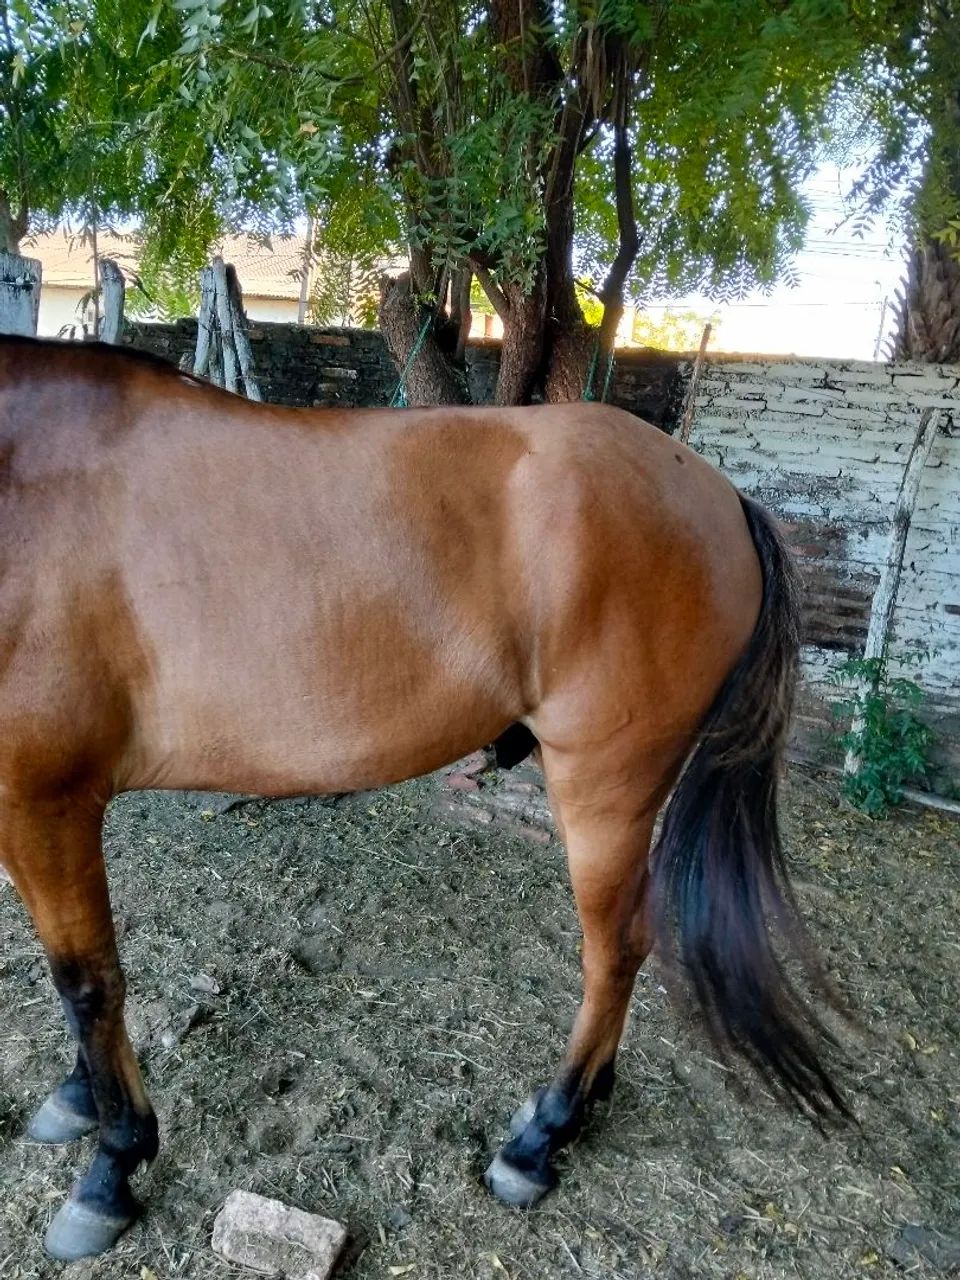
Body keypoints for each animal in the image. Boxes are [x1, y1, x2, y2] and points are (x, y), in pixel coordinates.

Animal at [0, 336, 844, 1261]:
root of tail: (720, 494)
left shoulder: (44, 798)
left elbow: (88, 982)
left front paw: (112, 1166)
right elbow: (80, 973)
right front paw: (79, 1099)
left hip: (605, 787)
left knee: (615, 950)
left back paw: (542, 1138)